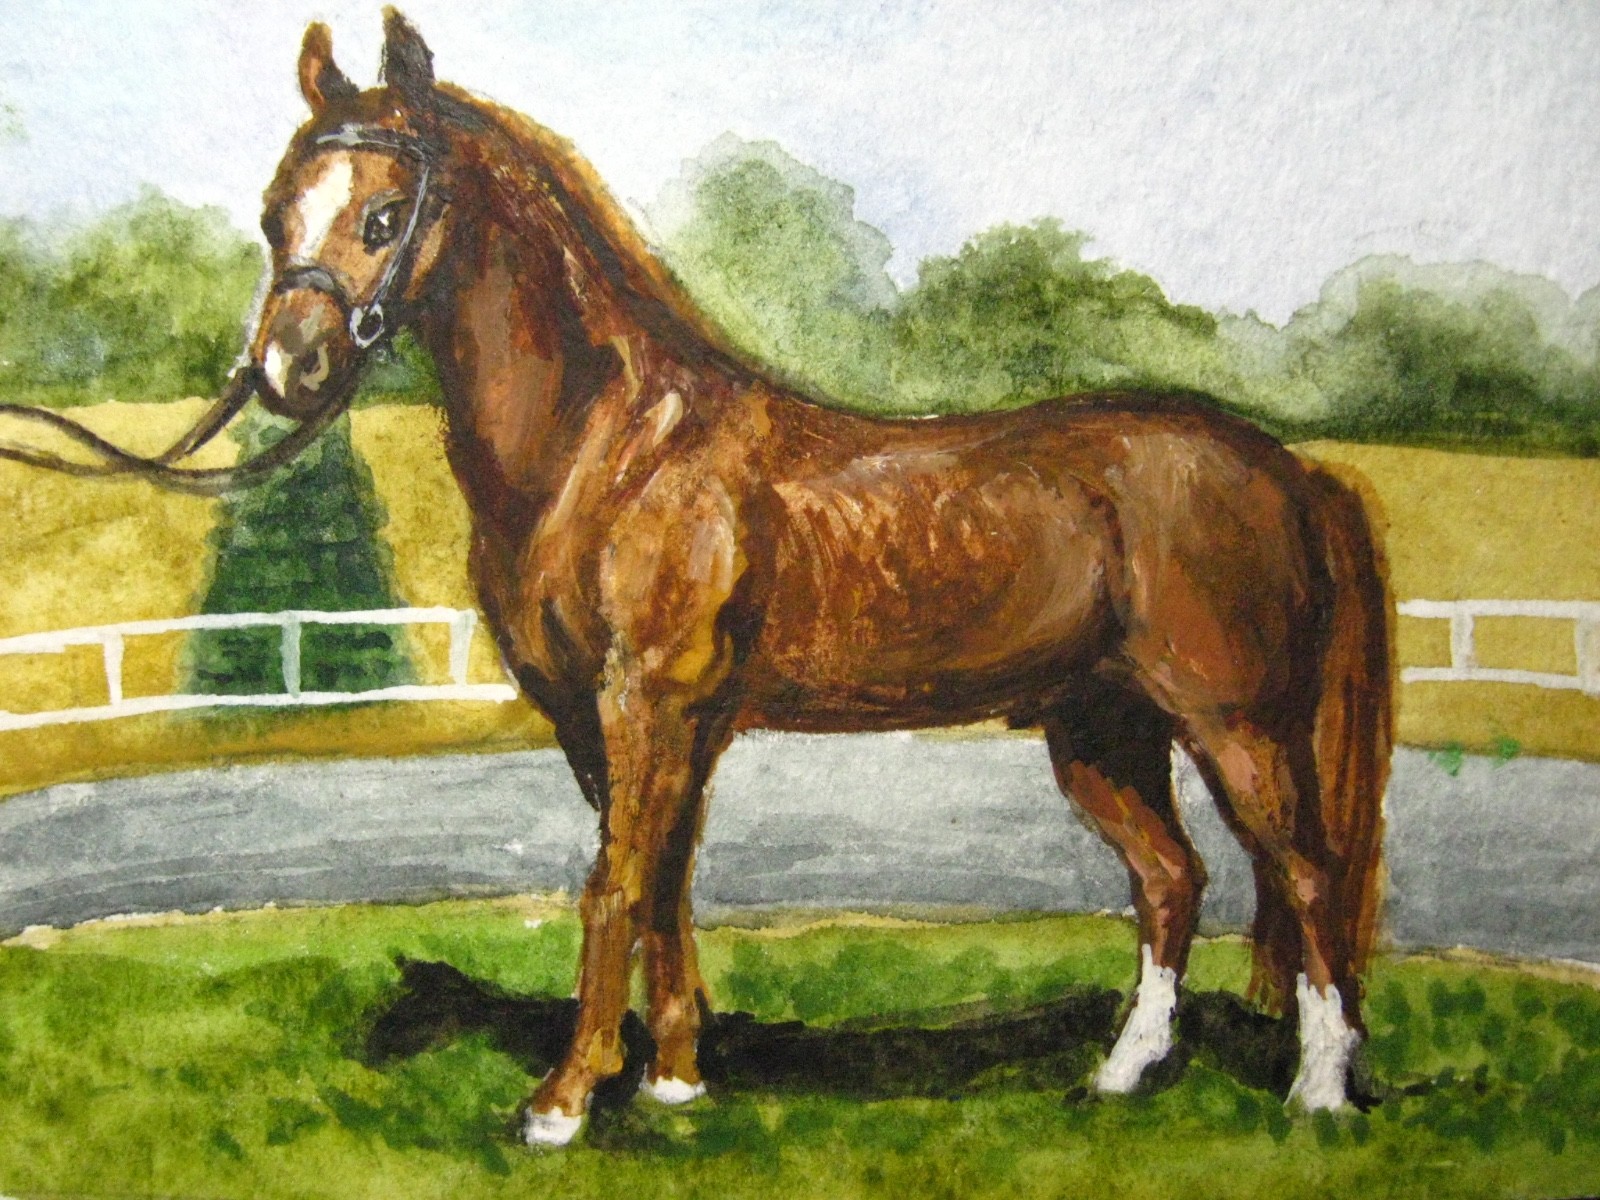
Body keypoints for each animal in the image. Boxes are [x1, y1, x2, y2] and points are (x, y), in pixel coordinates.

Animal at [240, 11, 1392, 1147]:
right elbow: (664, 883)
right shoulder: (621, 718)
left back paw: (1320, 1092)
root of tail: (1294, 471)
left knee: (1308, 873)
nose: (286, 369)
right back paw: (1123, 1073)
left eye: (385, 215)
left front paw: (564, 1103)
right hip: (1104, 728)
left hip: (1238, 724)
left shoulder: (643, 704)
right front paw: (674, 1080)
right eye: (274, 214)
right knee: (1169, 879)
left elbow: (614, 885)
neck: (614, 449)